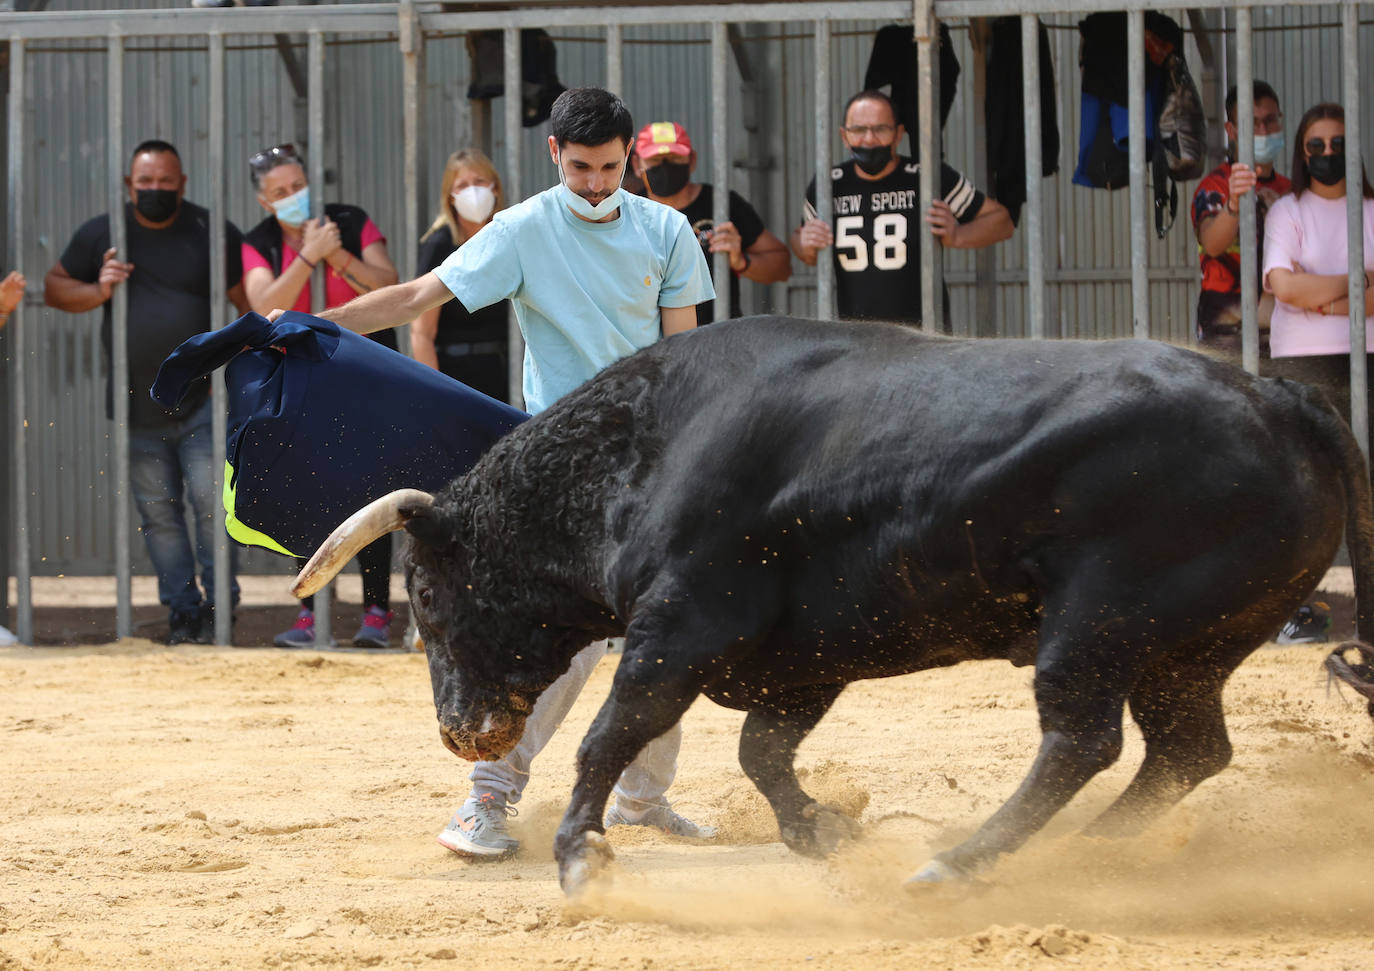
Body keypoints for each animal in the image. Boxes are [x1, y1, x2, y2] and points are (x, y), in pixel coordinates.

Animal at [292, 317, 1374, 895]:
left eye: (428, 591)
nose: (460, 731)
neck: (640, 448)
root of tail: (1284, 401)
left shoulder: (682, 624)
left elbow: (611, 733)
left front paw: (579, 855)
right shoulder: (800, 657)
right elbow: (761, 751)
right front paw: (822, 831)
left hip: (1099, 623)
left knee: (1083, 739)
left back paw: (955, 863)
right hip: (1190, 645)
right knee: (1186, 748)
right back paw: (1083, 850)